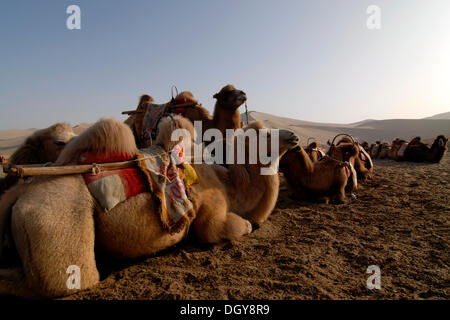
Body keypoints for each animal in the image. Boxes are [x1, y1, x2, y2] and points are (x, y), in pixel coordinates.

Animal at [0, 115, 298, 298]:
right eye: (266, 136)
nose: (294, 135)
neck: (230, 183)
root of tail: (19, 191)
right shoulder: (211, 213)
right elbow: (229, 227)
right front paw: (246, 224)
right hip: (54, 220)